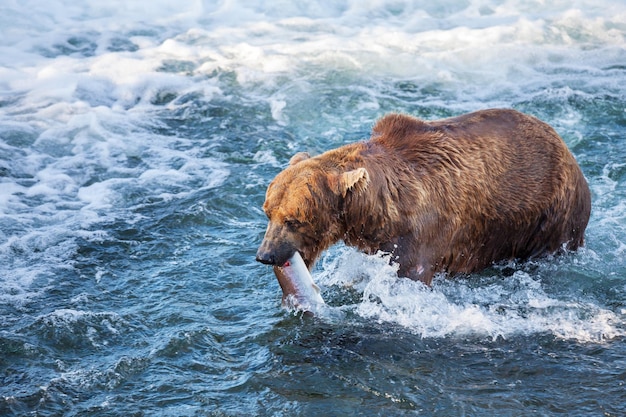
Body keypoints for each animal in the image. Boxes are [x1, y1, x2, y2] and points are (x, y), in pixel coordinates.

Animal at [255, 109, 588, 284]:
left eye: (293, 219)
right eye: (268, 212)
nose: (265, 255)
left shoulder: (422, 235)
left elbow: (411, 272)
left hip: (549, 214)